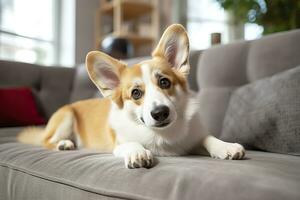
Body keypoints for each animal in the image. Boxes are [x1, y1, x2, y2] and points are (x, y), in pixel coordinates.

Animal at [17, 24, 245, 169]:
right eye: (136, 93)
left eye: (165, 82)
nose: (160, 113)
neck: (162, 136)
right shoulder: (120, 143)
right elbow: (131, 144)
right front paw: (138, 153)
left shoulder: (194, 138)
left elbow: (208, 138)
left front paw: (226, 146)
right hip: (66, 117)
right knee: (46, 141)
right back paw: (64, 143)